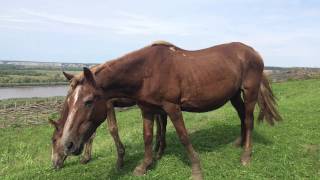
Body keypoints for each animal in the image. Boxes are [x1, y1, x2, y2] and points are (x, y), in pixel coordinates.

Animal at [58, 41, 282, 179]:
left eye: (88, 101)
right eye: (70, 101)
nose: (68, 145)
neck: (146, 71)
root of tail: (253, 52)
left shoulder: (172, 107)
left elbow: (183, 136)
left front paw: (196, 169)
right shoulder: (147, 109)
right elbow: (148, 136)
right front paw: (144, 165)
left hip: (250, 91)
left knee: (249, 119)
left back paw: (246, 155)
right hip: (234, 95)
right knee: (242, 116)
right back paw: (238, 142)